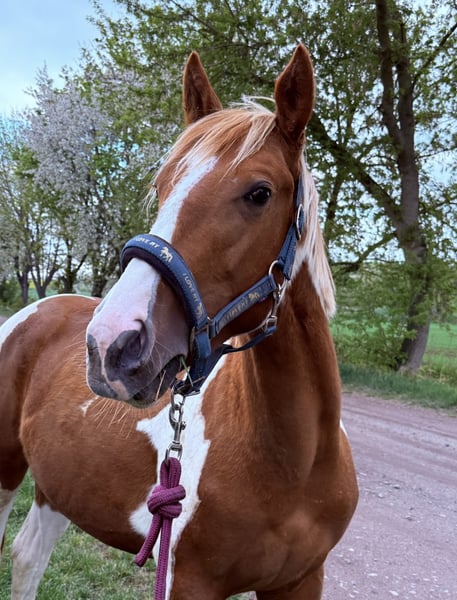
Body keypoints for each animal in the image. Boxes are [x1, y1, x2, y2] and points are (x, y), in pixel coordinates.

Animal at [0, 45, 358, 599]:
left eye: (259, 193)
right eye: (162, 185)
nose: (111, 345)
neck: (295, 466)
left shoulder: (302, 580)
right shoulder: (188, 578)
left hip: (58, 487)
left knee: (28, 557)